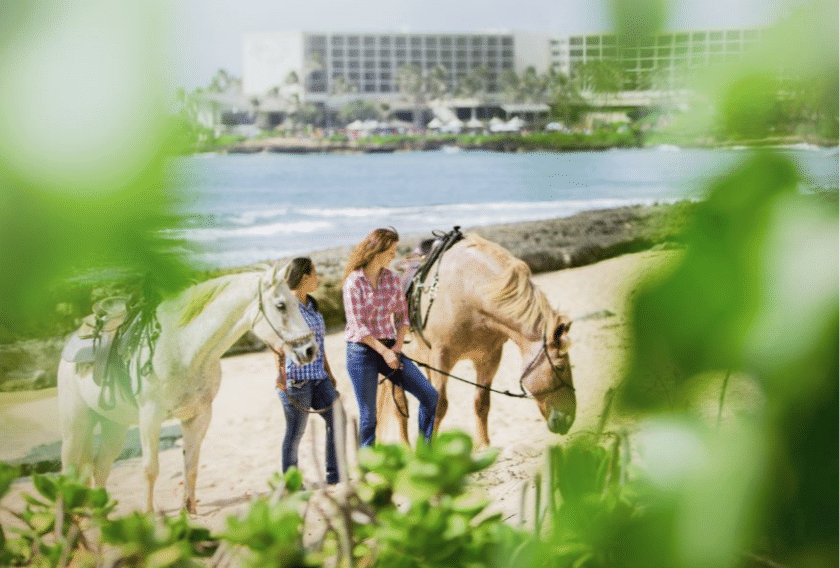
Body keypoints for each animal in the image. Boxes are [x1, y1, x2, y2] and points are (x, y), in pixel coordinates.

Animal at [56, 264, 318, 512]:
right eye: (281, 305)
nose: (310, 350)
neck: (183, 349)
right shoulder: (150, 418)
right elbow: (150, 469)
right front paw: (149, 515)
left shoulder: (198, 416)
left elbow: (191, 465)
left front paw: (189, 509)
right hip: (75, 426)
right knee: (68, 469)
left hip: (114, 427)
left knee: (99, 467)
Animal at [384, 233, 576, 446]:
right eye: (560, 367)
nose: (569, 419)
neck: (468, 292)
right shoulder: (441, 358)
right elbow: (439, 405)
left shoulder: (489, 358)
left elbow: (482, 403)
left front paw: (484, 445)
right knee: (400, 406)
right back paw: (405, 447)